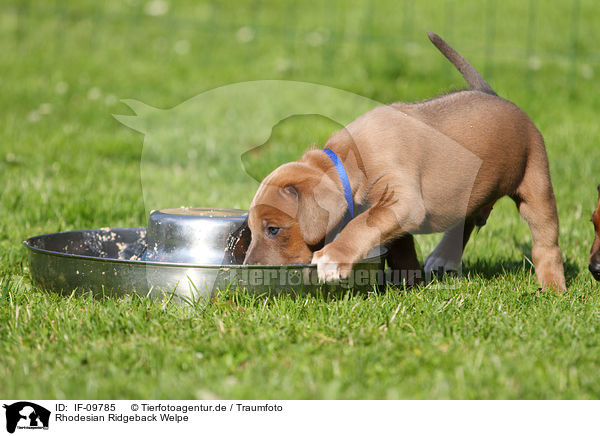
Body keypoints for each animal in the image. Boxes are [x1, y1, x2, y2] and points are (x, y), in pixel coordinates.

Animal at [241, 32, 564, 292]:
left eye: (273, 230)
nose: (249, 269)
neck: (347, 162)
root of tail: (493, 94)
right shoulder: (393, 215)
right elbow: (400, 247)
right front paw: (410, 283)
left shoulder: (403, 201)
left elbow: (359, 226)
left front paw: (334, 257)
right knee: (466, 220)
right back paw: (444, 257)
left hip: (536, 182)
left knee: (546, 243)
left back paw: (553, 287)